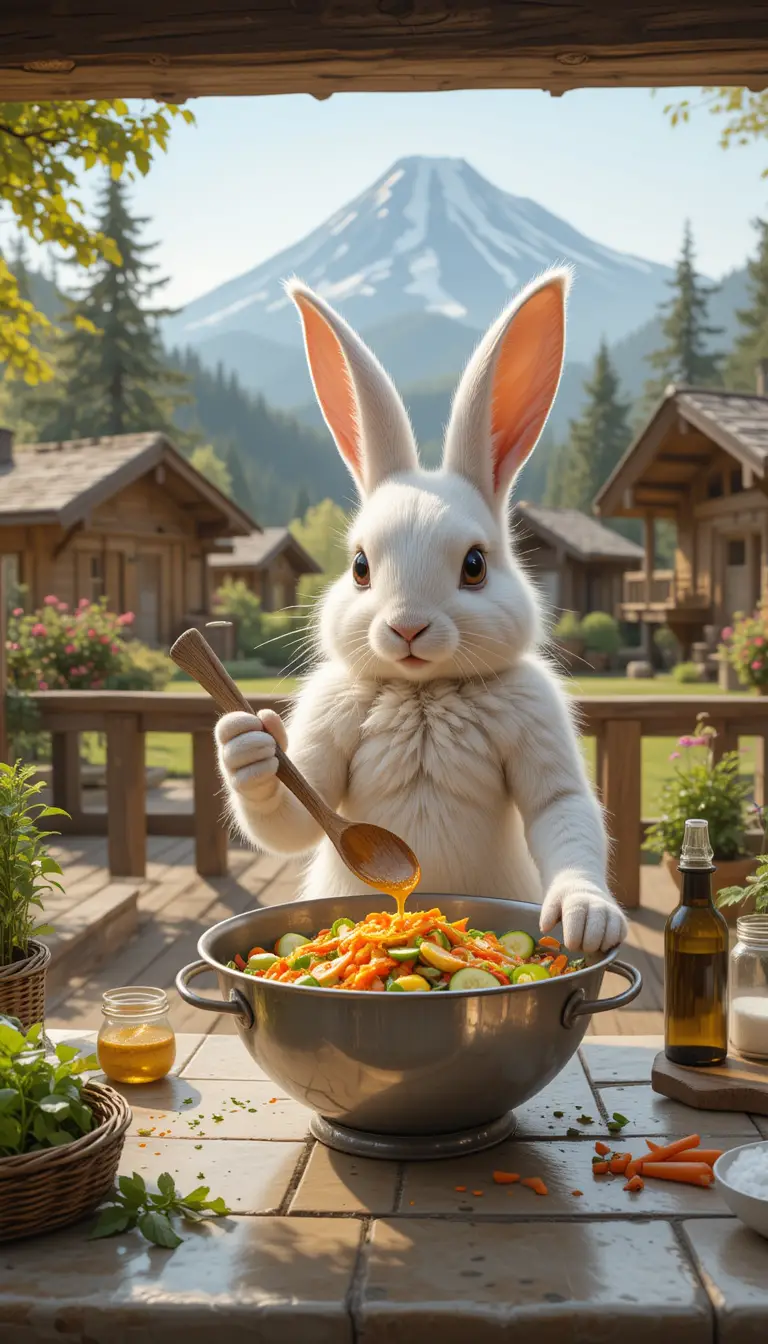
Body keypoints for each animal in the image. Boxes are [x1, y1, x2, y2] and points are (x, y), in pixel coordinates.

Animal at [215, 267, 627, 953]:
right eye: (360, 567)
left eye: (475, 565)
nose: (407, 626)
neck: (424, 692)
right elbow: (295, 811)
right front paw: (249, 743)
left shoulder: (541, 726)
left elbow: (564, 808)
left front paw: (588, 917)